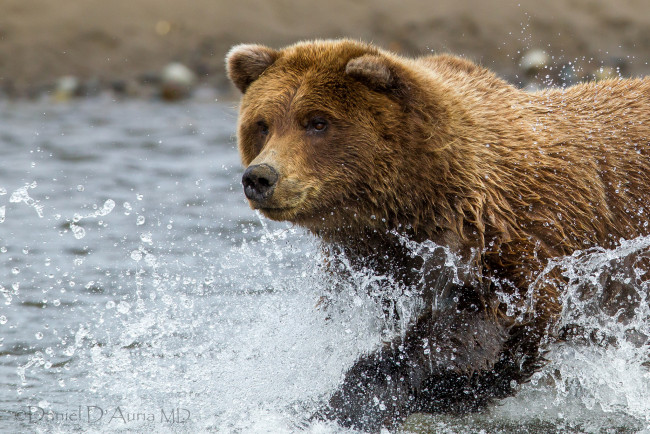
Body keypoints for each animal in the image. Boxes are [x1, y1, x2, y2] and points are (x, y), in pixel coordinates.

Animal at [225, 39, 648, 430]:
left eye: (316, 122)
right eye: (262, 124)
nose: (260, 177)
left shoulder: (517, 238)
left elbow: (485, 326)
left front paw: (352, 401)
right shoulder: (372, 263)